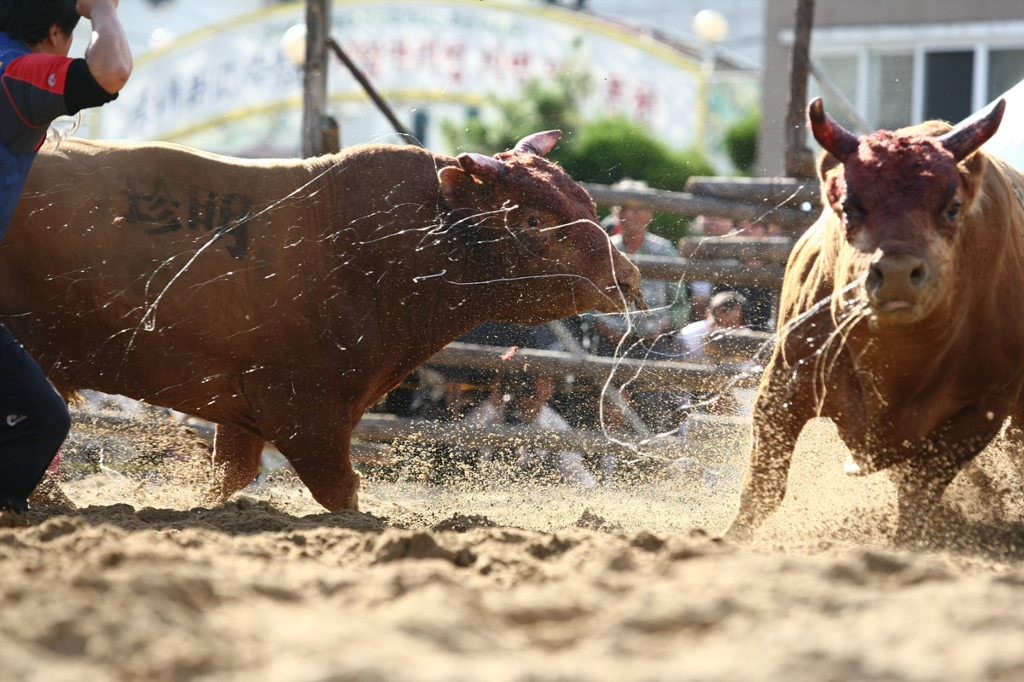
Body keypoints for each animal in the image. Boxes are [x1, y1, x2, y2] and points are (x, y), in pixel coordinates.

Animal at [0, 129, 638, 509]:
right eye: (531, 220)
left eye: (586, 201)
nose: (627, 278)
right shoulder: (305, 412)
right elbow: (342, 493)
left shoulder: (245, 411)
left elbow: (226, 476)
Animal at [729, 95, 1024, 540]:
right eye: (849, 206)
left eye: (953, 208)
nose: (898, 273)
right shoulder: (784, 383)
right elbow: (763, 490)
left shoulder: (986, 404)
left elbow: (919, 493)